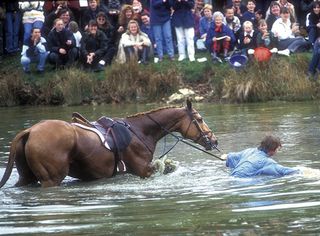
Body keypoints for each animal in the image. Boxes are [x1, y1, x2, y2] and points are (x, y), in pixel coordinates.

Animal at [0, 100, 218, 188]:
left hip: (27, 177)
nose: (214, 140)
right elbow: (161, 168)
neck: (139, 131)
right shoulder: (143, 170)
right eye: (199, 119)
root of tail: (30, 131)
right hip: (51, 179)